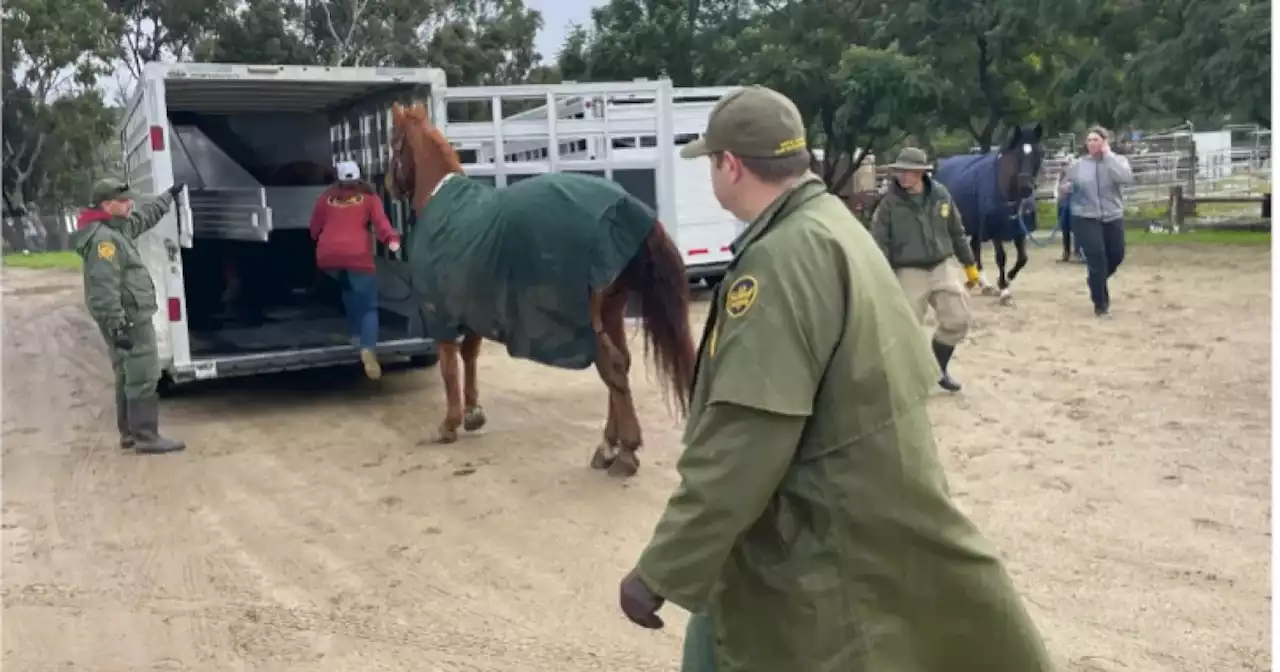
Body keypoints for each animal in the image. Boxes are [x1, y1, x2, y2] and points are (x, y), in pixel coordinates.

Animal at [384, 101, 696, 476]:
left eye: (393, 142)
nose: (387, 184)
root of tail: (623, 208)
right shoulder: (473, 310)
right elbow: (470, 355)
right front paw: (473, 414)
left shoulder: (440, 313)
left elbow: (448, 367)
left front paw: (450, 424)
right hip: (611, 311)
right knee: (622, 363)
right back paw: (609, 446)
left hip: (588, 320)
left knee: (613, 368)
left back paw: (624, 452)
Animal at [936, 123, 1044, 303]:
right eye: (1017, 154)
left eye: (1038, 153)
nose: (1025, 187)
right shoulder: (994, 228)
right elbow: (1001, 257)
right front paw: (1004, 289)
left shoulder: (1018, 229)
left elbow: (1023, 258)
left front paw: (1007, 278)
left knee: (974, 247)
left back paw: (982, 283)